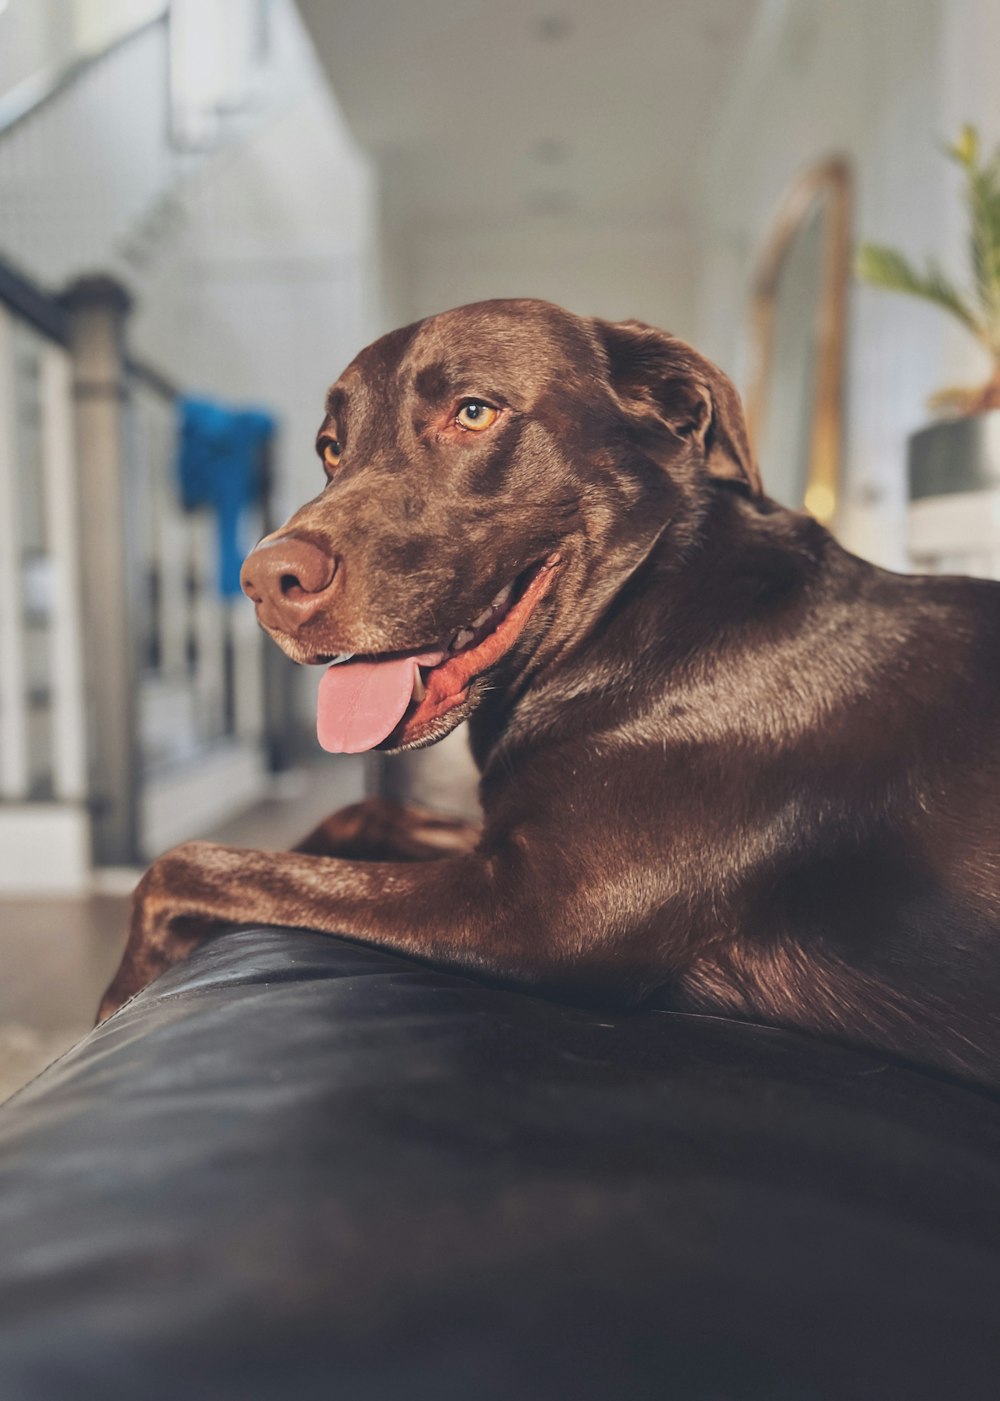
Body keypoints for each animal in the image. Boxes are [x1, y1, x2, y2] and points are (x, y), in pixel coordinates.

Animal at [95, 295, 997, 1081]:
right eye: (329, 447)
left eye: (473, 413)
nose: (264, 581)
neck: (640, 613)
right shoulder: (502, 844)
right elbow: (353, 820)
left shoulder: (544, 907)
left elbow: (190, 862)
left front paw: (120, 992)